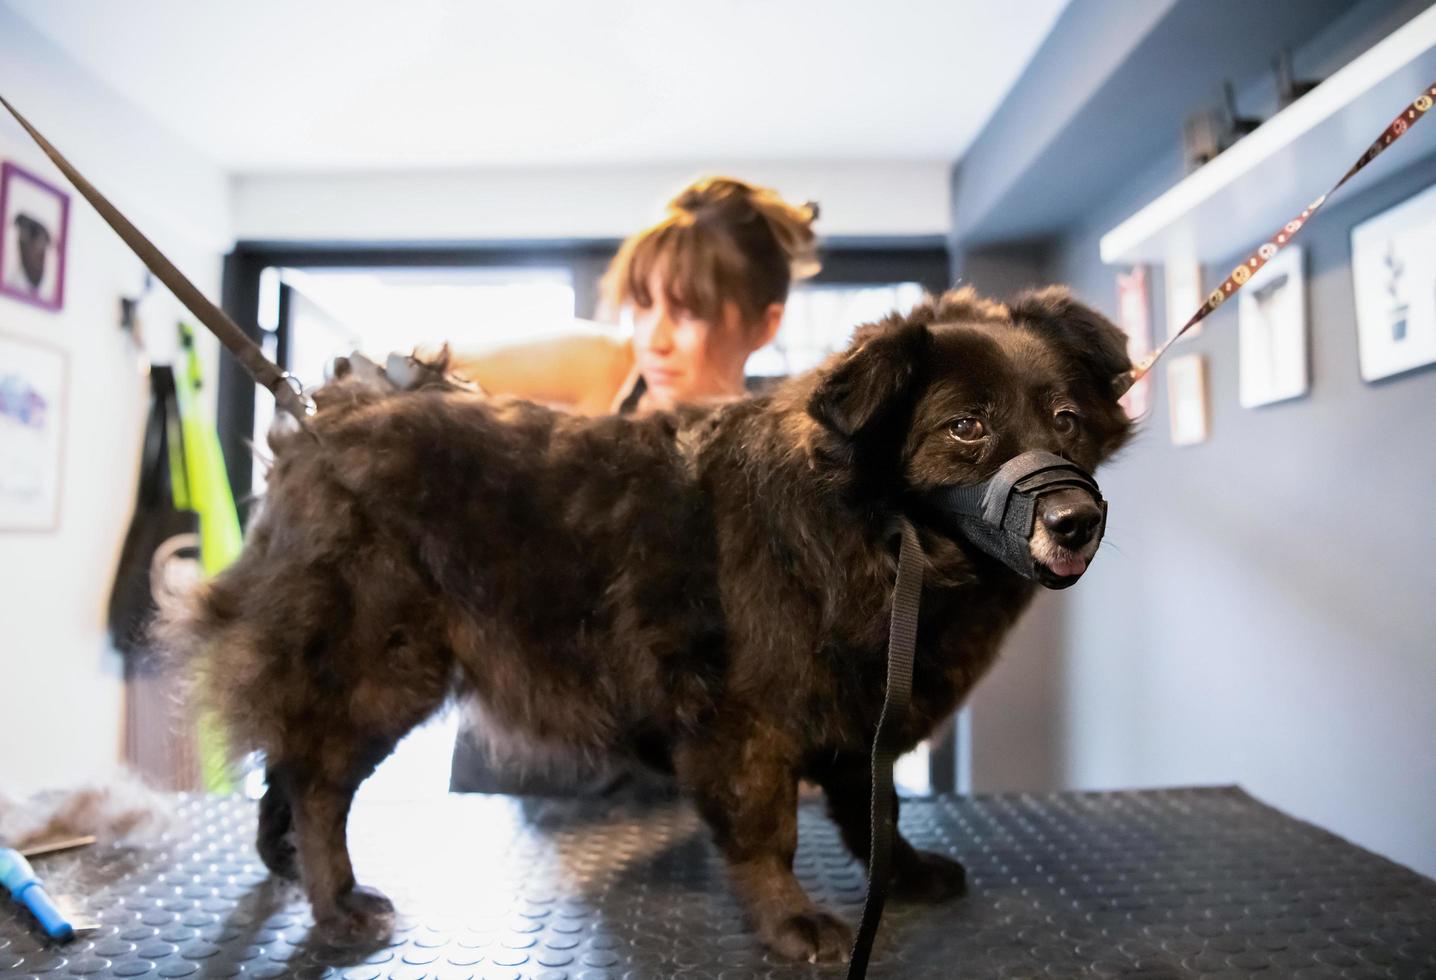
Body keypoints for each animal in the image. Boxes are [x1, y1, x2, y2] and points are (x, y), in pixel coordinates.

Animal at [165, 283, 1131, 959]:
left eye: (1065, 419)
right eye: (967, 426)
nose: (1077, 519)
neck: (872, 536)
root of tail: (325, 415)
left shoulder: (861, 718)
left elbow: (877, 811)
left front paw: (905, 873)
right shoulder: (745, 724)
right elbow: (769, 833)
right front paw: (789, 923)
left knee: (290, 763)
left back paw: (288, 865)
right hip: (382, 668)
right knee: (318, 781)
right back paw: (334, 901)